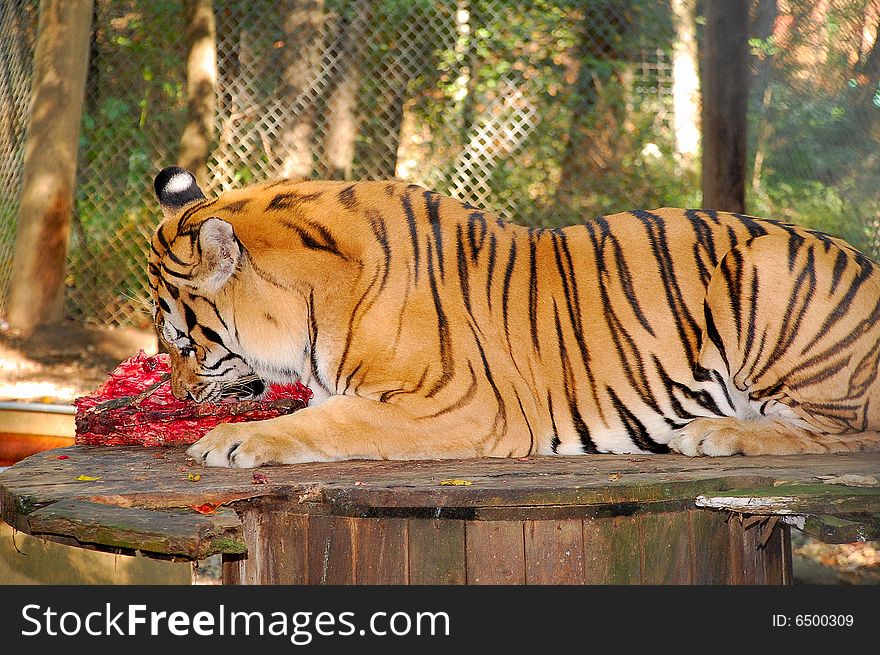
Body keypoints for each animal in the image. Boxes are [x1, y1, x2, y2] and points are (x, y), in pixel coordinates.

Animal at [150, 167, 880, 468]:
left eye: (184, 344)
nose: (179, 395)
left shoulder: (465, 404)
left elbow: (330, 423)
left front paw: (229, 442)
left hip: (762, 267)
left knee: (846, 436)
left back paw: (714, 433)